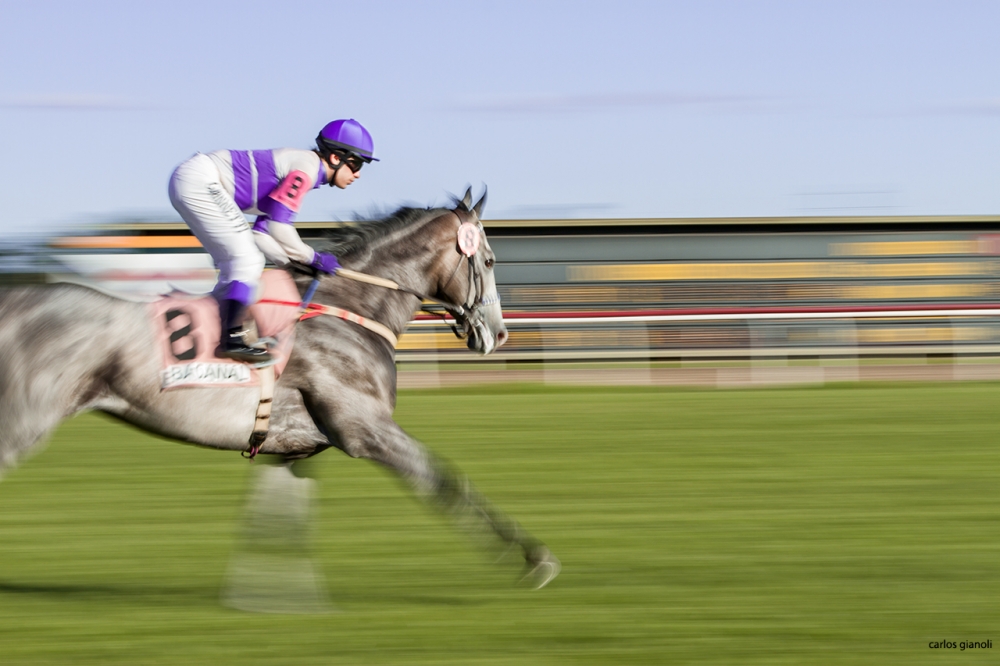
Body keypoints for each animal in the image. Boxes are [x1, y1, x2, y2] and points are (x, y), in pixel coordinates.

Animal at [0, 191, 564, 588]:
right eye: (489, 261)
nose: (499, 334)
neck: (350, 309)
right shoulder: (368, 432)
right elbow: (448, 482)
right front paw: (535, 558)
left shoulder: (295, 448)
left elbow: (276, 523)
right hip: (22, 423)